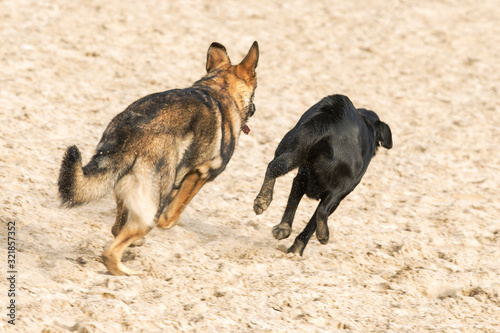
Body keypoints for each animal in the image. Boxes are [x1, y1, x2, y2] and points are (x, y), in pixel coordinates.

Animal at [59, 41, 258, 274]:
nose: (254, 109)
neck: (220, 88)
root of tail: (130, 133)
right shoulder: (200, 174)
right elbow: (171, 215)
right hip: (152, 205)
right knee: (111, 251)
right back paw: (127, 273)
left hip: (125, 187)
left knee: (117, 228)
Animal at [254, 94, 390, 255]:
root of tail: (329, 118)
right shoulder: (339, 196)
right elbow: (312, 222)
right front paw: (297, 249)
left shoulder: (300, 179)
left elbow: (292, 204)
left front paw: (284, 230)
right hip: (341, 186)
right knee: (322, 210)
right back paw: (323, 235)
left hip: (291, 148)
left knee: (275, 166)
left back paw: (263, 201)